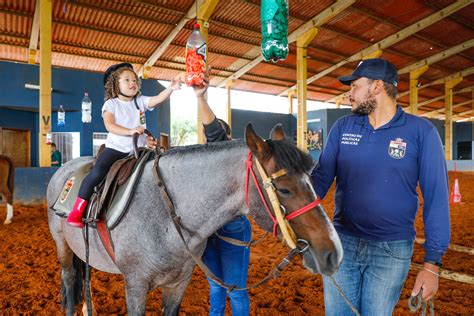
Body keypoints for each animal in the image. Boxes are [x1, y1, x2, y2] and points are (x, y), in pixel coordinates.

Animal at [48, 123, 342, 316]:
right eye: (284, 189)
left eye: (310, 179)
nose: (333, 253)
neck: (166, 214)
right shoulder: (135, 286)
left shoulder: (178, 284)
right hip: (62, 246)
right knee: (70, 279)